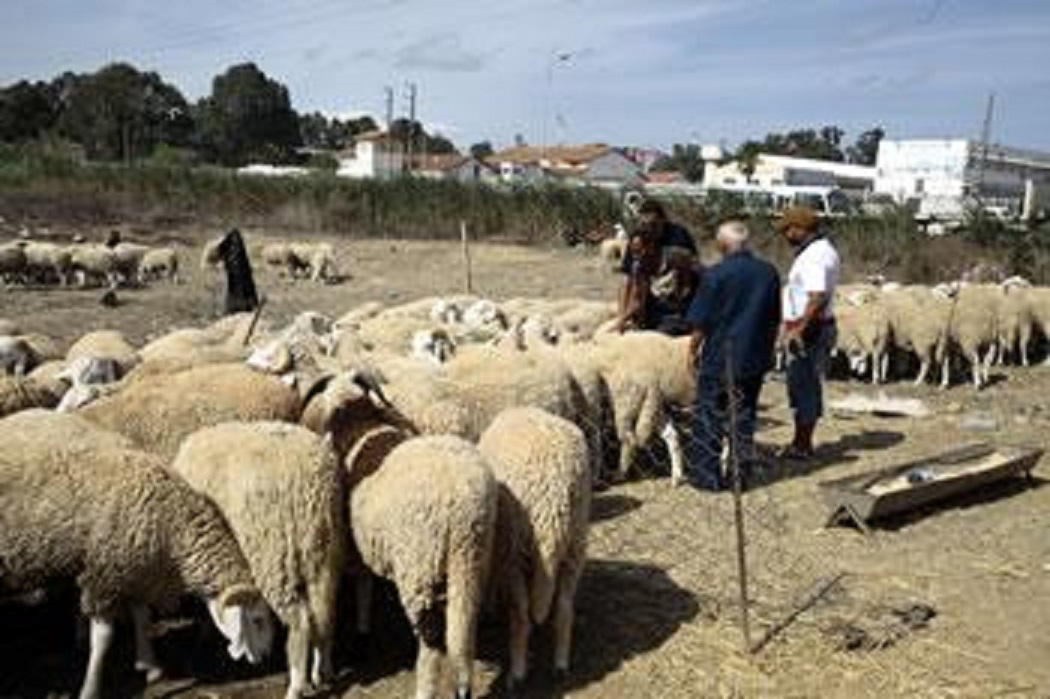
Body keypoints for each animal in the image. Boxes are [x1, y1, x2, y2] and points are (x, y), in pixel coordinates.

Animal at [0, 410, 274, 699]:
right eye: (257, 621)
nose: (266, 657)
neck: (174, 525)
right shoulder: (104, 577)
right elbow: (104, 638)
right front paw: (91, 687)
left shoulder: (136, 570)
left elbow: (142, 617)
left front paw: (149, 665)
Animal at [172, 422, 346, 699]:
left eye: (257, 621)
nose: (260, 659)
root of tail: (308, 475)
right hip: (324, 553)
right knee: (325, 615)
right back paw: (323, 672)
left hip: (274, 556)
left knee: (301, 623)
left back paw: (295, 687)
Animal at [351, 435, 497, 699]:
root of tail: (463, 508)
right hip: (471, 557)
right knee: (463, 622)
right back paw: (463, 686)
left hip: (420, 562)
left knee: (432, 635)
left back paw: (424, 687)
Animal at [477, 407, 591, 687]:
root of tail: (554, 493)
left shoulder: (499, 547)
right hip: (575, 541)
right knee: (564, 607)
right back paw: (561, 664)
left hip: (515, 550)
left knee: (521, 615)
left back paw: (517, 672)